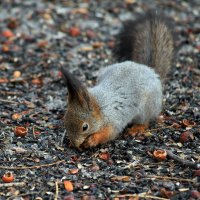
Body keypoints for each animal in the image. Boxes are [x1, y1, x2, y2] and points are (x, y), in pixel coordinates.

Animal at [61, 12, 173, 150]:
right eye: (65, 120)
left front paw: (92, 140)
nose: (75, 144)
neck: (100, 107)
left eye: (85, 127)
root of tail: (150, 71)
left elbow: (109, 133)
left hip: (147, 108)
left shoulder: (114, 120)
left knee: (145, 121)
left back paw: (137, 128)